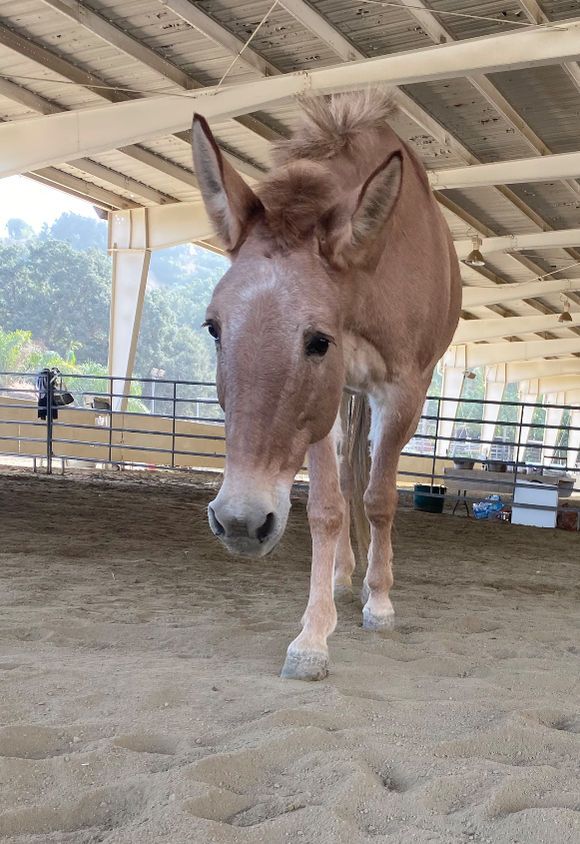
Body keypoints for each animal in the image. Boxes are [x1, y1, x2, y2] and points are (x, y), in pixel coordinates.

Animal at [191, 89, 461, 681]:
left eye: (318, 341)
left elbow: (380, 499)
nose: (240, 522)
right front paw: (313, 636)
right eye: (214, 327)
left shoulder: (402, 392)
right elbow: (326, 509)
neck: (372, 276)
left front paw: (378, 602)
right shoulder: (322, 407)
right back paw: (341, 576)